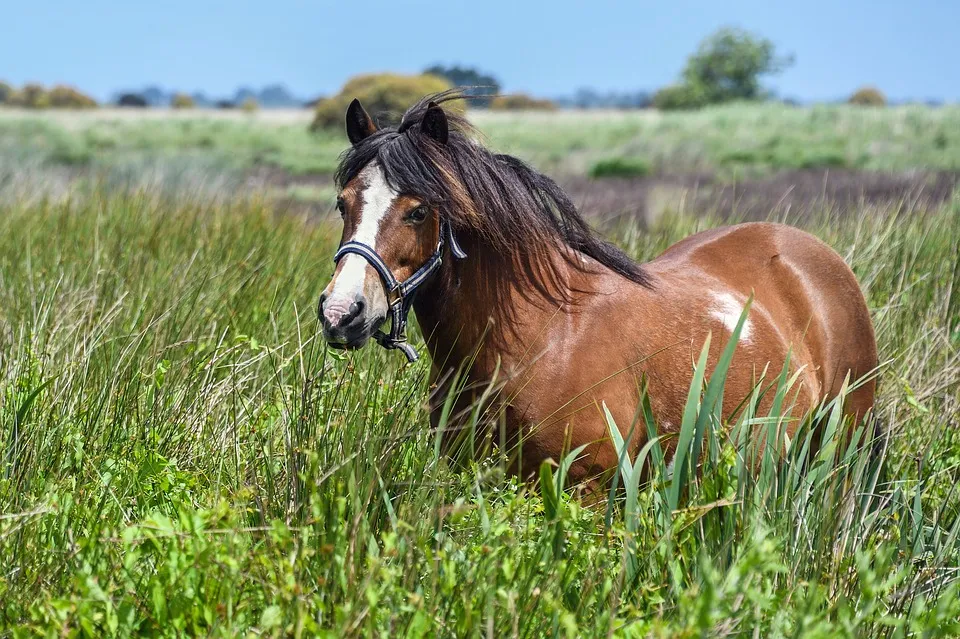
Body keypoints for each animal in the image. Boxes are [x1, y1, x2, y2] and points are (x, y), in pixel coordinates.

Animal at [318, 92, 878, 490]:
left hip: (842, 447)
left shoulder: (587, 489)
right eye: (343, 203)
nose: (342, 312)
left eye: (418, 211)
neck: (537, 339)